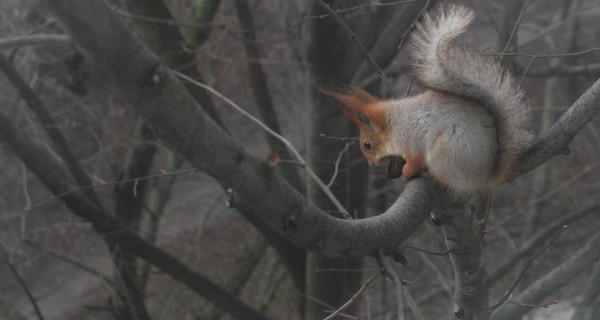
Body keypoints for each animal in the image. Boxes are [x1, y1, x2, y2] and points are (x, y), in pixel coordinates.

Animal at [324, 5, 536, 195]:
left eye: (367, 144)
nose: (371, 163)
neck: (393, 123)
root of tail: (484, 176)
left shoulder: (411, 140)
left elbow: (414, 159)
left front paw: (407, 171)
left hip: (446, 152)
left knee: (451, 181)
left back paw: (430, 174)